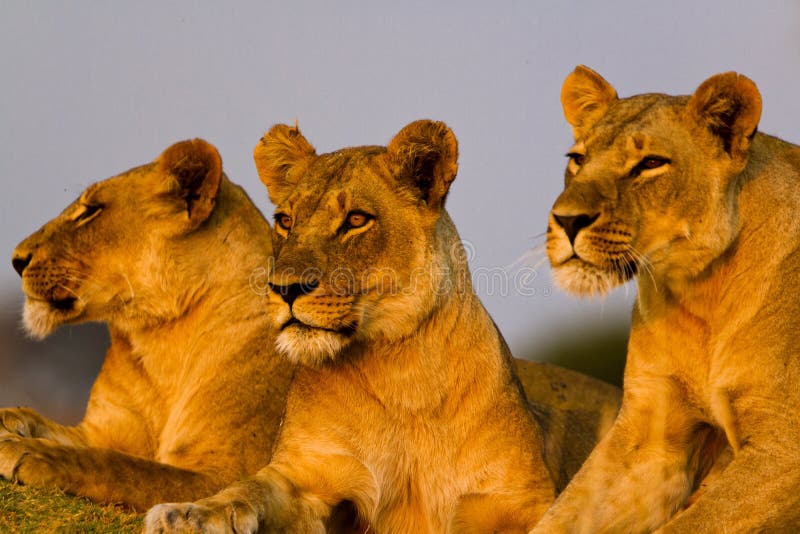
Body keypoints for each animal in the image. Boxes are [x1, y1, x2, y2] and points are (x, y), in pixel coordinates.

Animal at [0, 139, 296, 512]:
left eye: (90, 211)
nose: (16, 260)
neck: (158, 341)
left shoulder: (225, 474)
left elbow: (114, 465)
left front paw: (25, 450)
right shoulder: (98, 431)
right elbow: (66, 434)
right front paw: (9, 420)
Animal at [144, 120, 622, 533]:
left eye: (356, 220)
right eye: (285, 221)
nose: (284, 289)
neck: (401, 372)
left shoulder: (518, 498)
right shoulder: (307, 473)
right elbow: (245, 489)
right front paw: (186, 514)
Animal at [532, 66, 800, 533]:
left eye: (650, 164)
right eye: (577, 159)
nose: (566, 220)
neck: (700, 294)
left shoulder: (784, 445)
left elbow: (697, 524)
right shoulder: (650, 435)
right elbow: (565, 513)